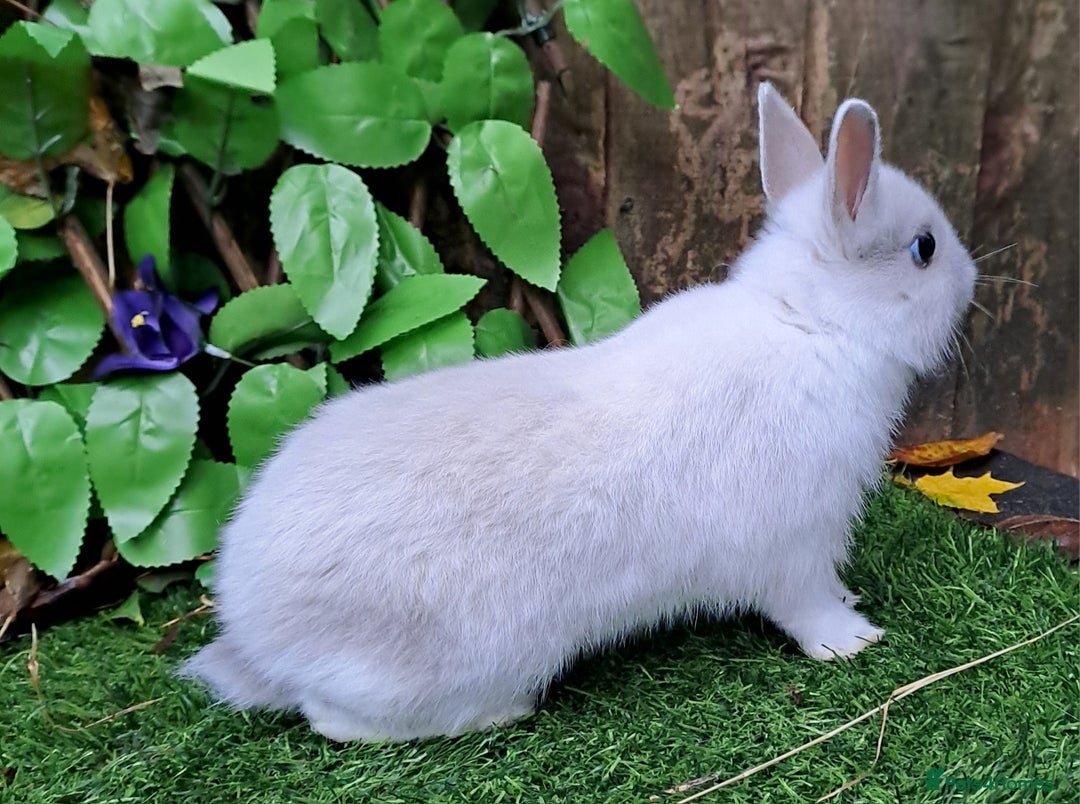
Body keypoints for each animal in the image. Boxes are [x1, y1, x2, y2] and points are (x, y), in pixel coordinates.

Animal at [182, 82, 976, 742]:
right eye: (924, 248)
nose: (971, 280)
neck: (812, 323)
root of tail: (254, 628)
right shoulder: (794, 547)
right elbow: (807, 608)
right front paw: (856, 639)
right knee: (332, 718)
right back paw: (499, 712)